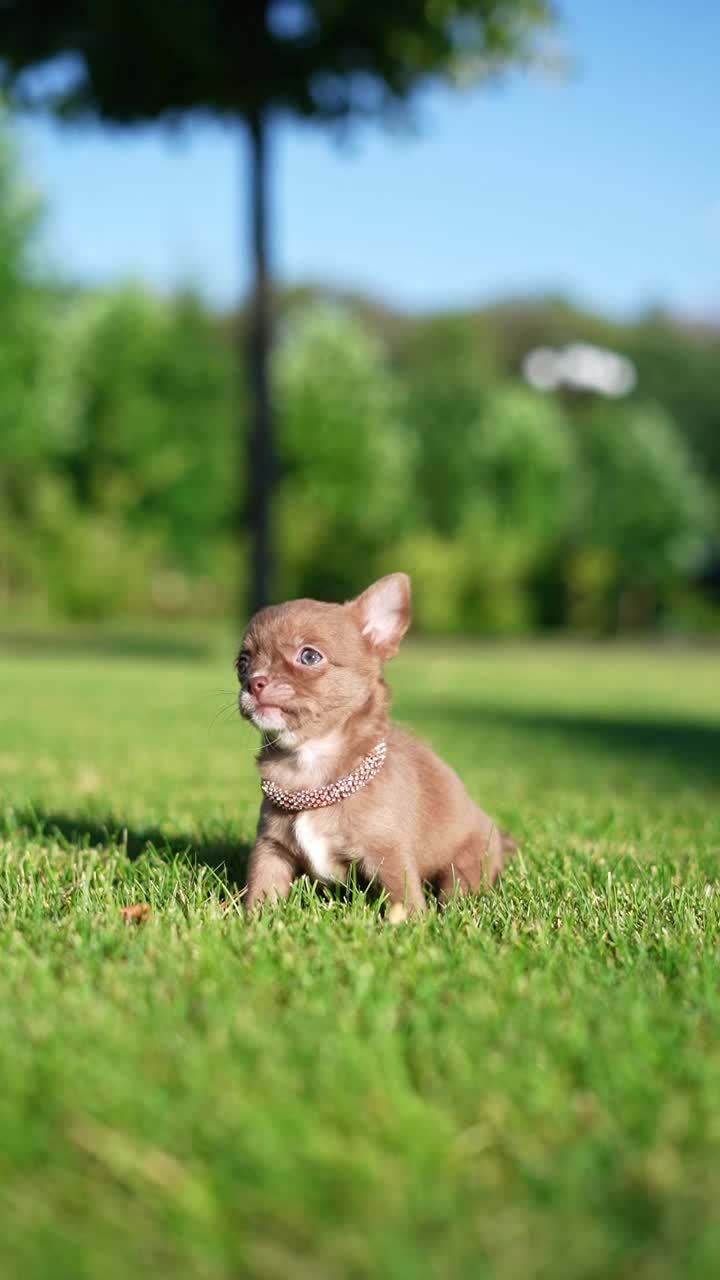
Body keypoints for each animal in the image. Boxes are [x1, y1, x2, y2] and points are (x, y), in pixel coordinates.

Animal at [235, 576, 509, 916]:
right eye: (242, 663)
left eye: (309, 656)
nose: (254, 682)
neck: (308, 763)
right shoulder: (271, 849)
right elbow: (262, 889)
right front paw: (252, 919)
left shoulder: (388, 855)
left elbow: (403, 898)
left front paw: (409, 921)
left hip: (466, 866)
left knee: (456, 888)